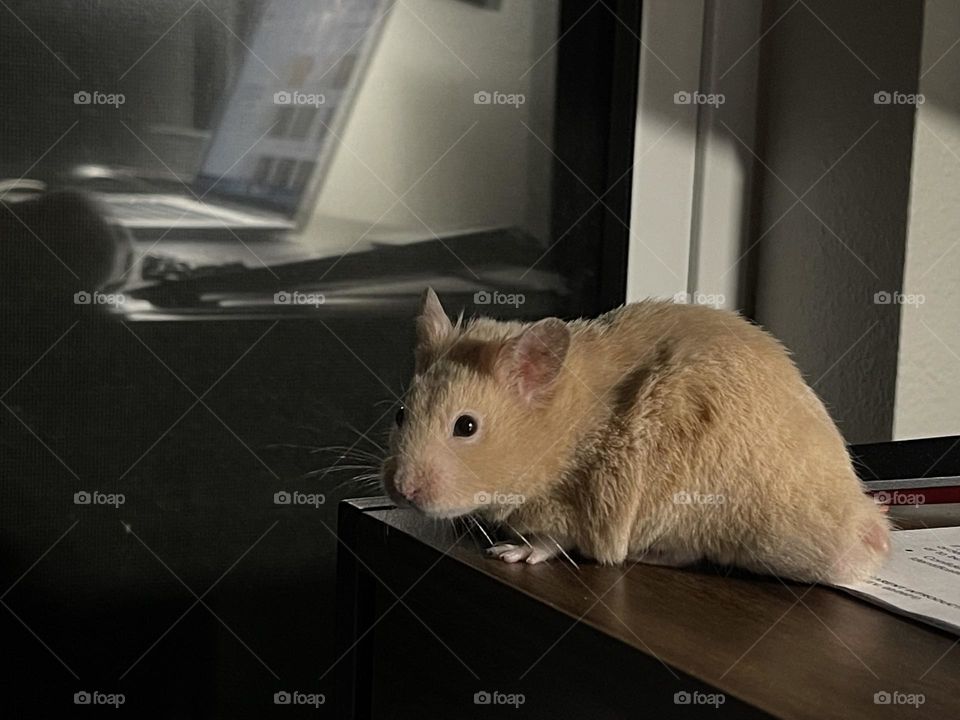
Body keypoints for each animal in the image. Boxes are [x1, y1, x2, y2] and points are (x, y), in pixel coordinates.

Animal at [378, 286, 888, 584]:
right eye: (401, 413)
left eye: (466, 426)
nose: (401, 491)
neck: (561, 431)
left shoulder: (577, 503)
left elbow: (548, 541)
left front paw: (508, 551)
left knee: (686, 553)